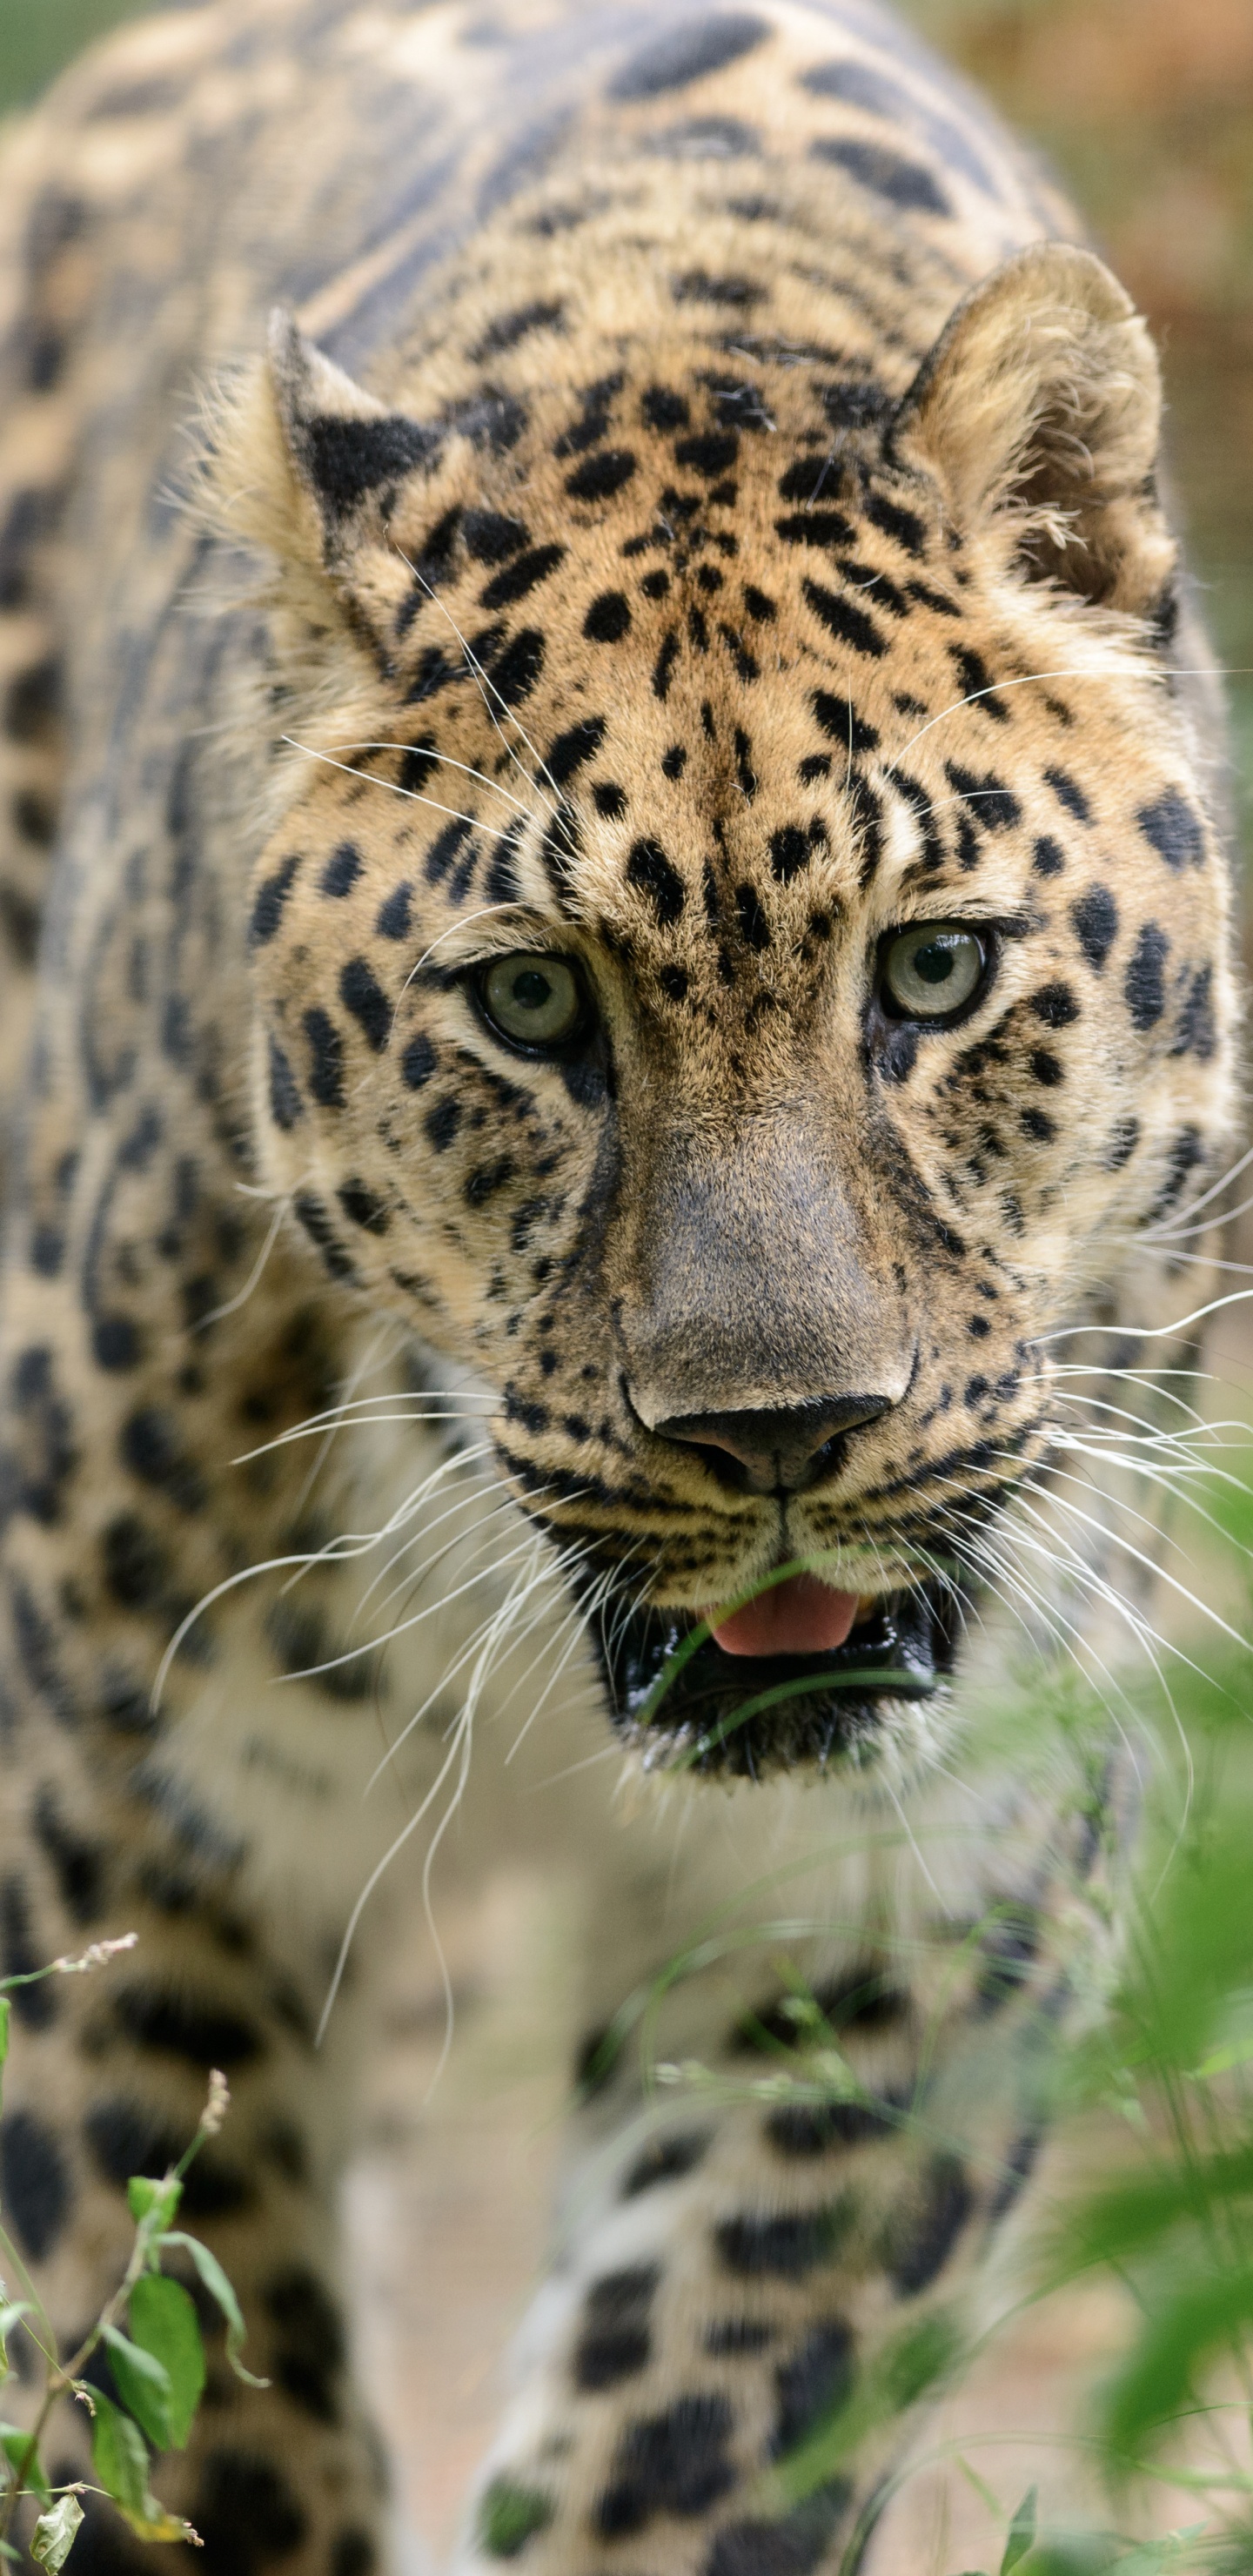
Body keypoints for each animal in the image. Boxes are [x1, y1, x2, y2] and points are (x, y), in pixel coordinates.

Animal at [0, 0, 1237, 2566]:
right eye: (531, 1004)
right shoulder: (112, 1812)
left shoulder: (919, 1900)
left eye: (933, 970)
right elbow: (178, 2376)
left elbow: (711, 2425)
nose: (779, 1435)